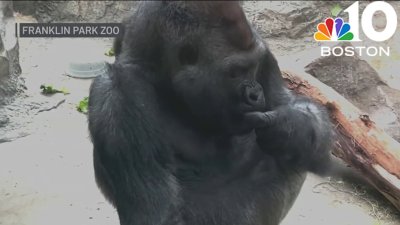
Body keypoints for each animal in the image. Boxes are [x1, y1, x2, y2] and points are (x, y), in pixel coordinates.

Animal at [89, 1, 342, 225]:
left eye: (252, 67)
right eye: (235, 72)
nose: (255, 94)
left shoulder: (262, 48)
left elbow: (292, 104)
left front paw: (289, 128)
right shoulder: (118, 95)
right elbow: (160, 216)